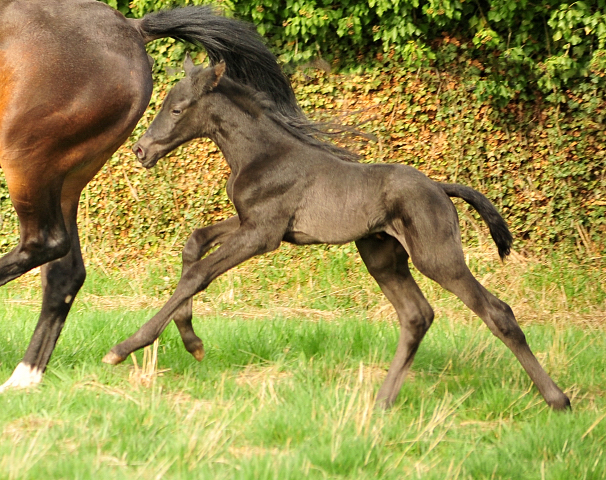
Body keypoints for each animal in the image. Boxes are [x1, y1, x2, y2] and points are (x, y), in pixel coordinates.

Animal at [0, 0, 304, 392]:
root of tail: (132, 28)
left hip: (27, 156)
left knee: (44, 243)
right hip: (64, 176)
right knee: (64, 270)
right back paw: (24, 378)